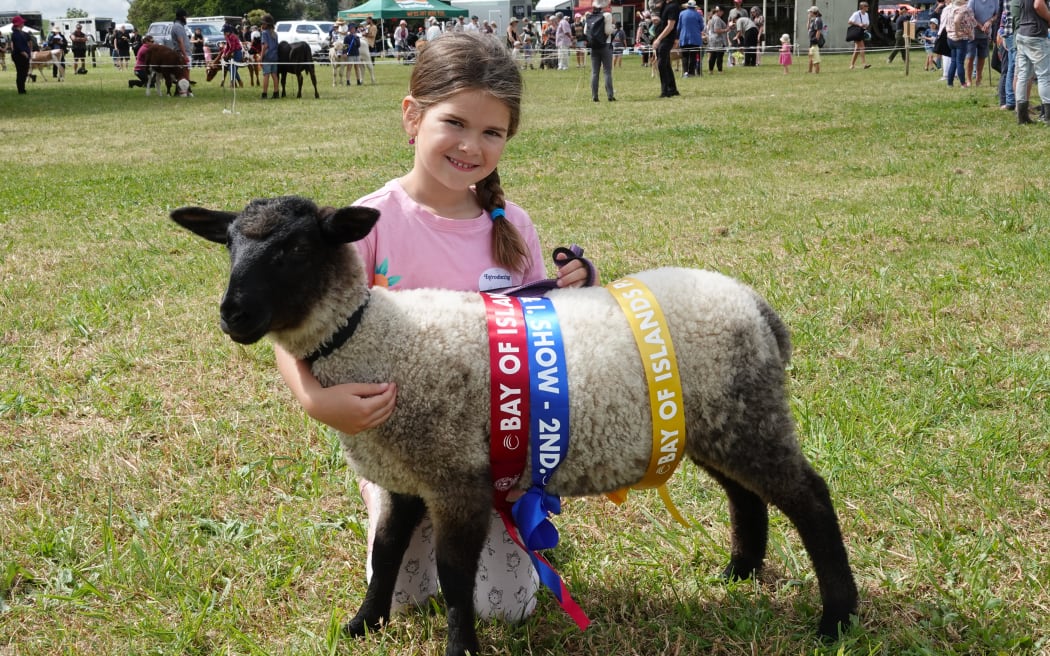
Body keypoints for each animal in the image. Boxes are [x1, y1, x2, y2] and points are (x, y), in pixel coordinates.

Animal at [170, 196, 858, 656]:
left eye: (293, 248)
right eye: (229, 245)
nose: (233, 315)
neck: (377, 340)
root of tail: (758, 309)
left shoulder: (456, 477)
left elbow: (453, 575)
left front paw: (460, 649)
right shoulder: (405, 477)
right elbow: (386, 551)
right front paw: (364, 624)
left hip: (748, 414)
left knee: (808, 496)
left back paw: (837, 619)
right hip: (713, 421)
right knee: (746, 494)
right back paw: (739, 571)